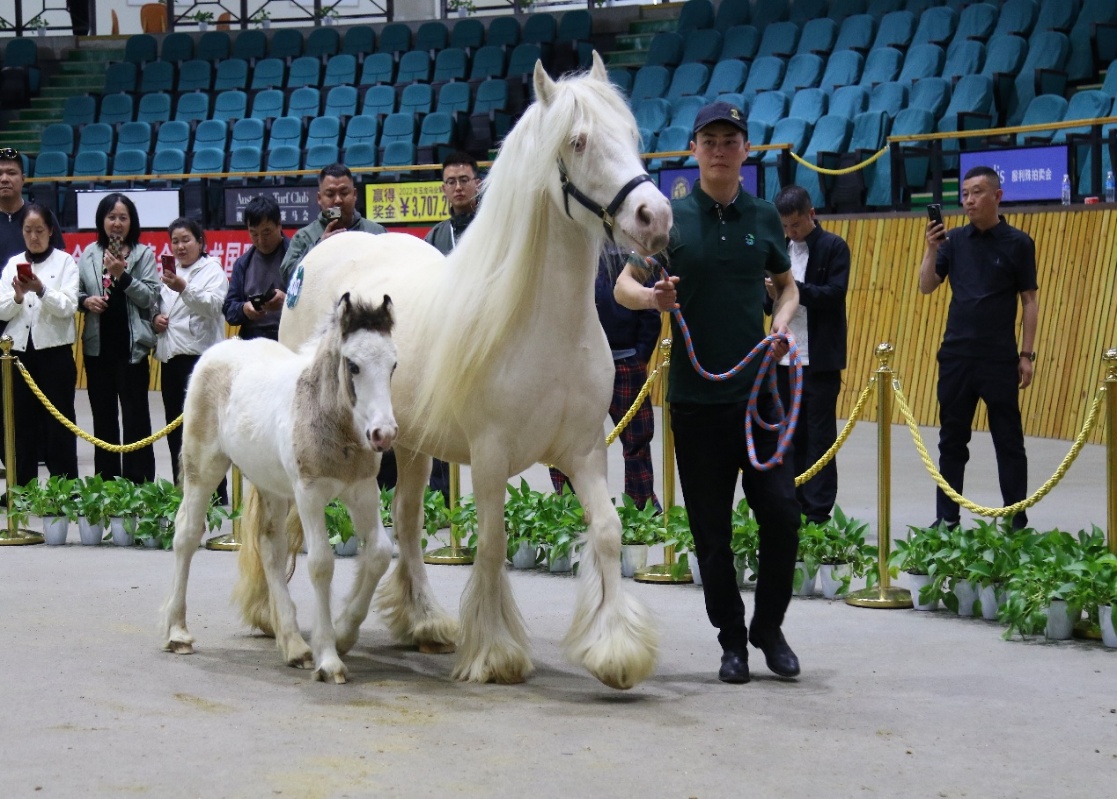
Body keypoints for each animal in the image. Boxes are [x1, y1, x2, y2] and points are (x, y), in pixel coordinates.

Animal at [160, 293, 398, 684]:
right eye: (353, 365)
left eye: (393, 365)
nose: (384, 434)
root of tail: (218, 349)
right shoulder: (309, 494)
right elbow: (320, 563)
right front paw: (329, 659)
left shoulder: (362, 491)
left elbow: (379, 552)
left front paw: (343, 635)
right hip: (203, 468)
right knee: (187, 534)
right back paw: (178, 633)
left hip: (271, 484)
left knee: (270, 547)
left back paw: (295, 647)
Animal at [244, 54, 674, 689]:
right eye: (578, 141)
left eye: (631, 133)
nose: (654, 217)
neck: (544, 325)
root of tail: (320, 251)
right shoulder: (491, 457)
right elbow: (493, 545)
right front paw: (495, 652)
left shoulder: (583, 453)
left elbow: (606, 533)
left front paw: (616, 651)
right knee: (286, 534)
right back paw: (287, 627)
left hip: (410, 445)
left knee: (405, 525)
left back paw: (423, 620)